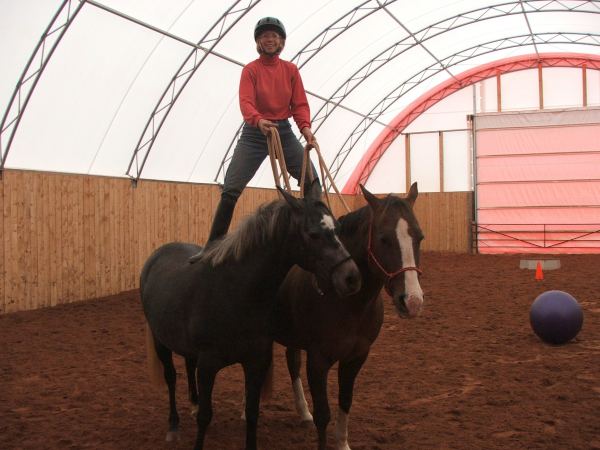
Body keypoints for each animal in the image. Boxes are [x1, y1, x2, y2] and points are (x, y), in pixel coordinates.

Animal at [139, 182, 360, 450]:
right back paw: (173, 426)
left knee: (188, 367)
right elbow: (205, 417)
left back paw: (192, 404)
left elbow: (253, 414)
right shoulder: (208, 365)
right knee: (171, 378)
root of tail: (157, 255)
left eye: (337, 229)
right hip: (161, 342)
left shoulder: (255, 362)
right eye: (313, 234)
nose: (351, 277)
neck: (235, 291)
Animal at [270, 183, 424, 450]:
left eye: (420, 237)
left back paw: (303, 413)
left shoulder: (356, 357)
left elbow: (345, 400)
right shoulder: (318, 360)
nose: (412, 301)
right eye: (383, 238)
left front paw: (342, 443)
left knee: (292, 363)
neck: (348, 301)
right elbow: (323, 414)